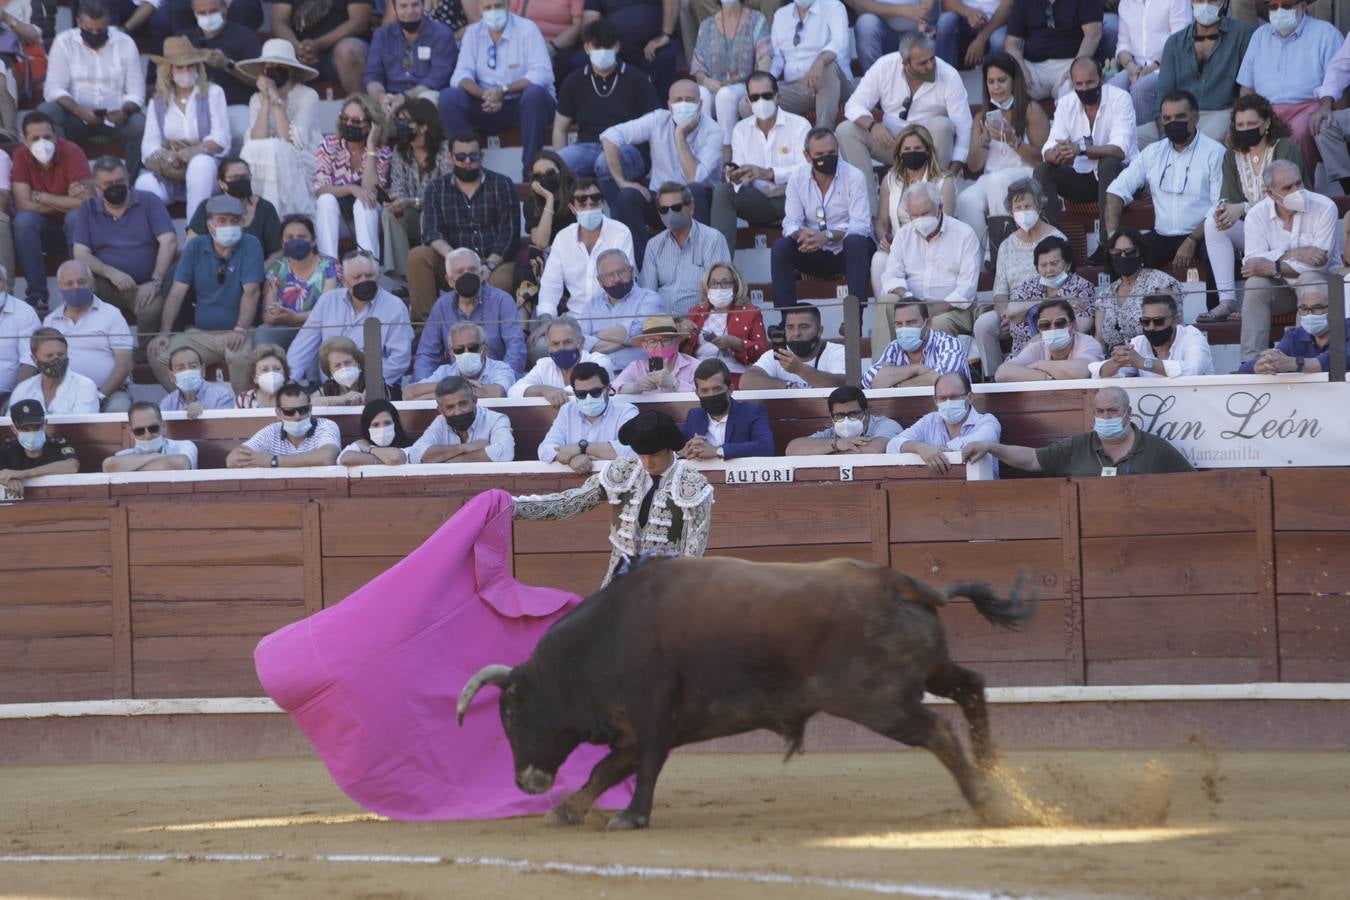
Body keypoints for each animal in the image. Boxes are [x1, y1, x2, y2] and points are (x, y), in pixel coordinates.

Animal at [453, 555, 1031, 831]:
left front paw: (631, 816)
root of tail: (896, 581)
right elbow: (604, 771)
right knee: (972, 688)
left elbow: (641, 768)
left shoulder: (652, 719)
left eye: (510, 714)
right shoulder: (634, 728)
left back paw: (987, 801)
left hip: (881, 701)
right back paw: (993, 768)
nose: (525, 782)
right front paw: (568, 811)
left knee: (939, 731)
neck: (603, 637)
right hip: (928, 672)